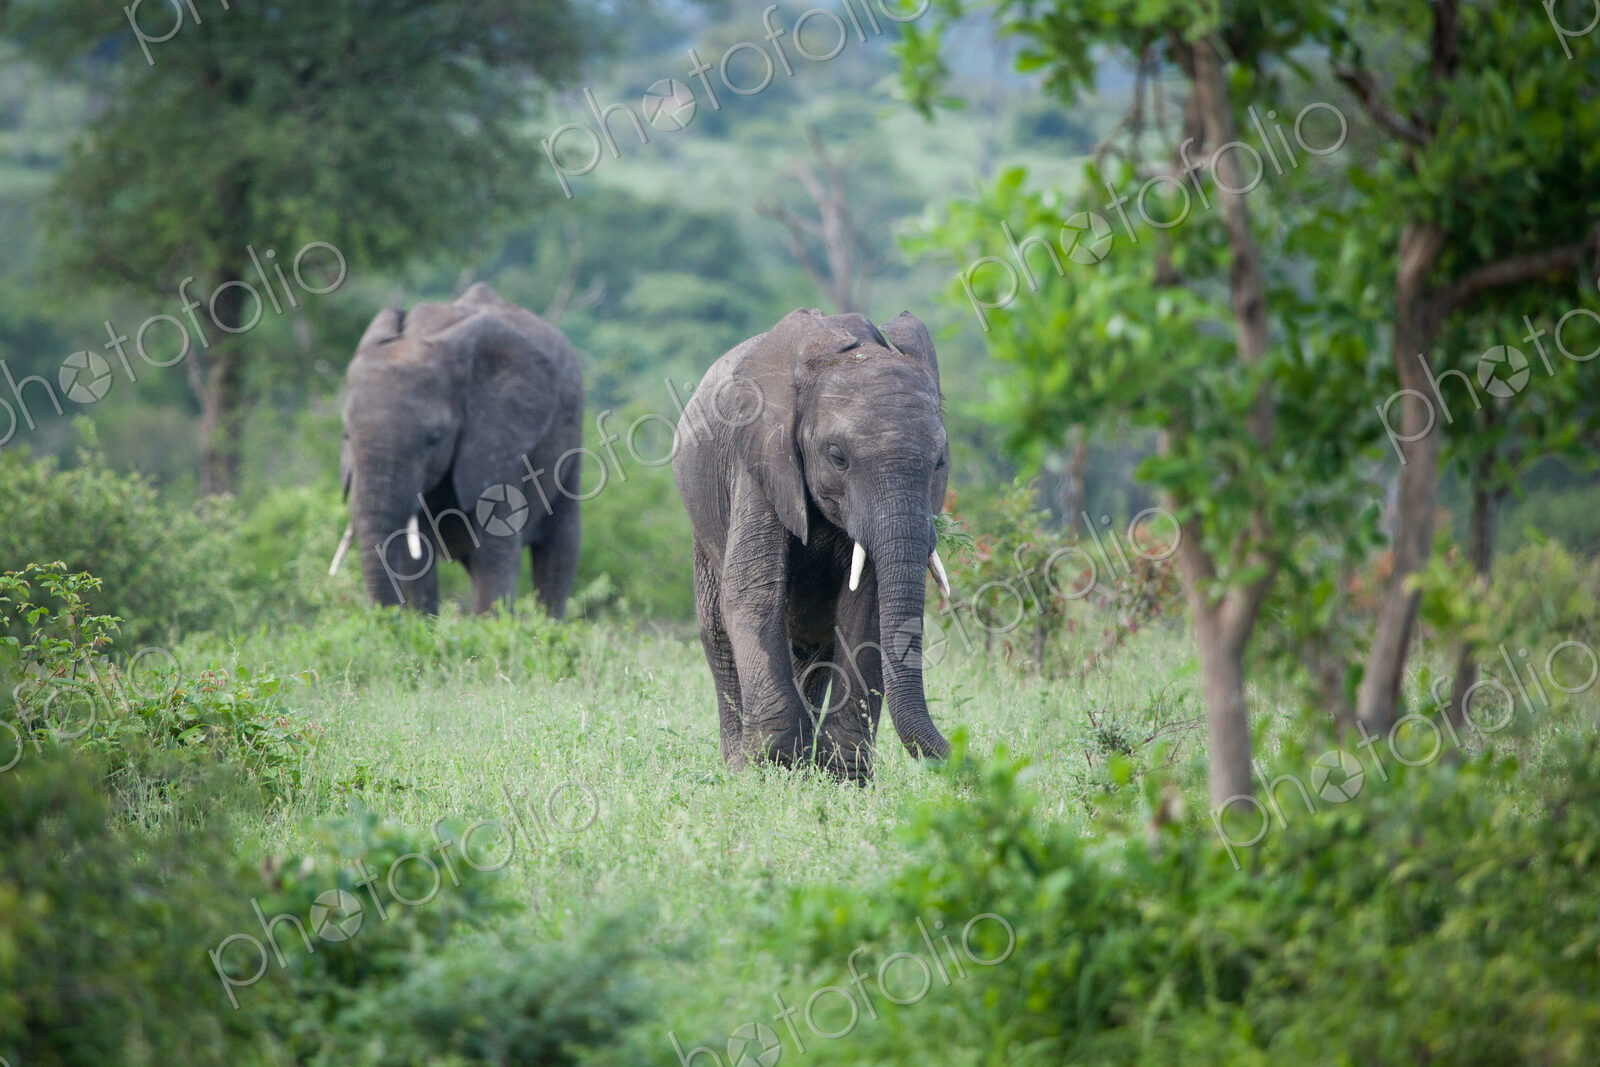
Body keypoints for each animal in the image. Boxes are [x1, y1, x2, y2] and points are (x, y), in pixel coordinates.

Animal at [330, 282, 583, 618]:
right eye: (346, 436)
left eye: (435, 438)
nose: (385, 619)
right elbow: (415, 553)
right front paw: (418, 624)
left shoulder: (500, 440)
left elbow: (495, 544)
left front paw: (493, 627)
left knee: (560, 549)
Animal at [672, 308, 954, 783]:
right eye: (837, 457)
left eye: (939, 464)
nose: (961, 753)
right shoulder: (760, 464)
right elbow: (753, 593)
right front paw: (771, 767)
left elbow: (867, 608)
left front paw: (843, 776)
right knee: (717, 630)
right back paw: (738, 763)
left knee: (812, 645)